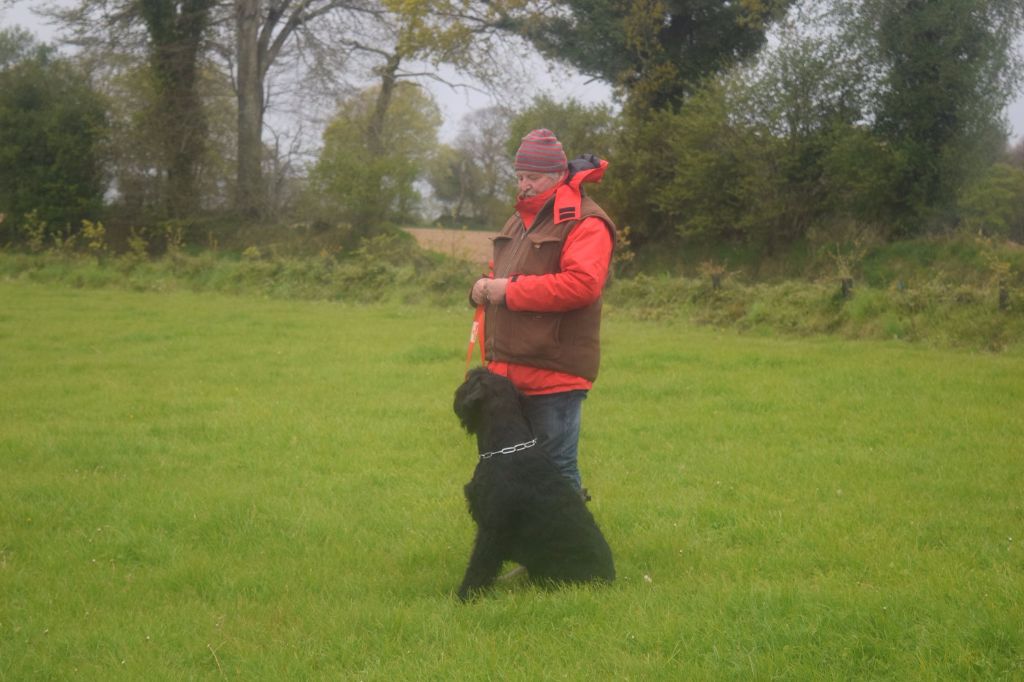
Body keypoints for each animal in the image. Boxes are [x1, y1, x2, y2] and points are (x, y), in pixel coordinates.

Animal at [452, 366, 610, 602]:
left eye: (472, 378)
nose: (472, 370)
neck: (507, 446)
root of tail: (609, 580)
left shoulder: (492, 530)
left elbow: (479, 566)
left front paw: (465, 596)